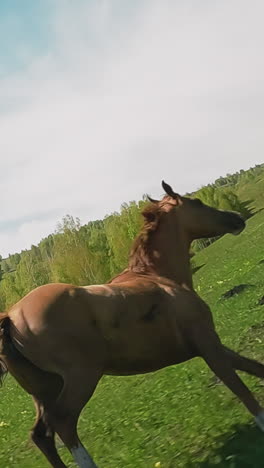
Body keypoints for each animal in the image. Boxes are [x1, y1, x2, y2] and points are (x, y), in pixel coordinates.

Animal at [0, 180, 264, 468]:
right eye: (197, 203)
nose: (235, 218)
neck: (159, 276)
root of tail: (12, 317)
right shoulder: (207, 343)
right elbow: (241, 389)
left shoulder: (205, 345)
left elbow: (253, 367)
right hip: (81, 377)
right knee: (63, 422)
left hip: (44, 389)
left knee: (41, 435)